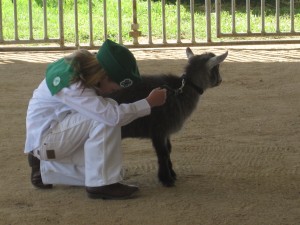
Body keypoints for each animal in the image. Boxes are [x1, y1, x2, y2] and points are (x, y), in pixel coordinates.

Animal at [108, 48, 227, 186]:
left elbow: (169, 150)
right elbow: (163, 153)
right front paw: (166, 179)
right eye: (216, 67)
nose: (220, 80)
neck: (179, 92)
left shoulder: (166, 132)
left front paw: (172, 174)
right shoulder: (158, 130)